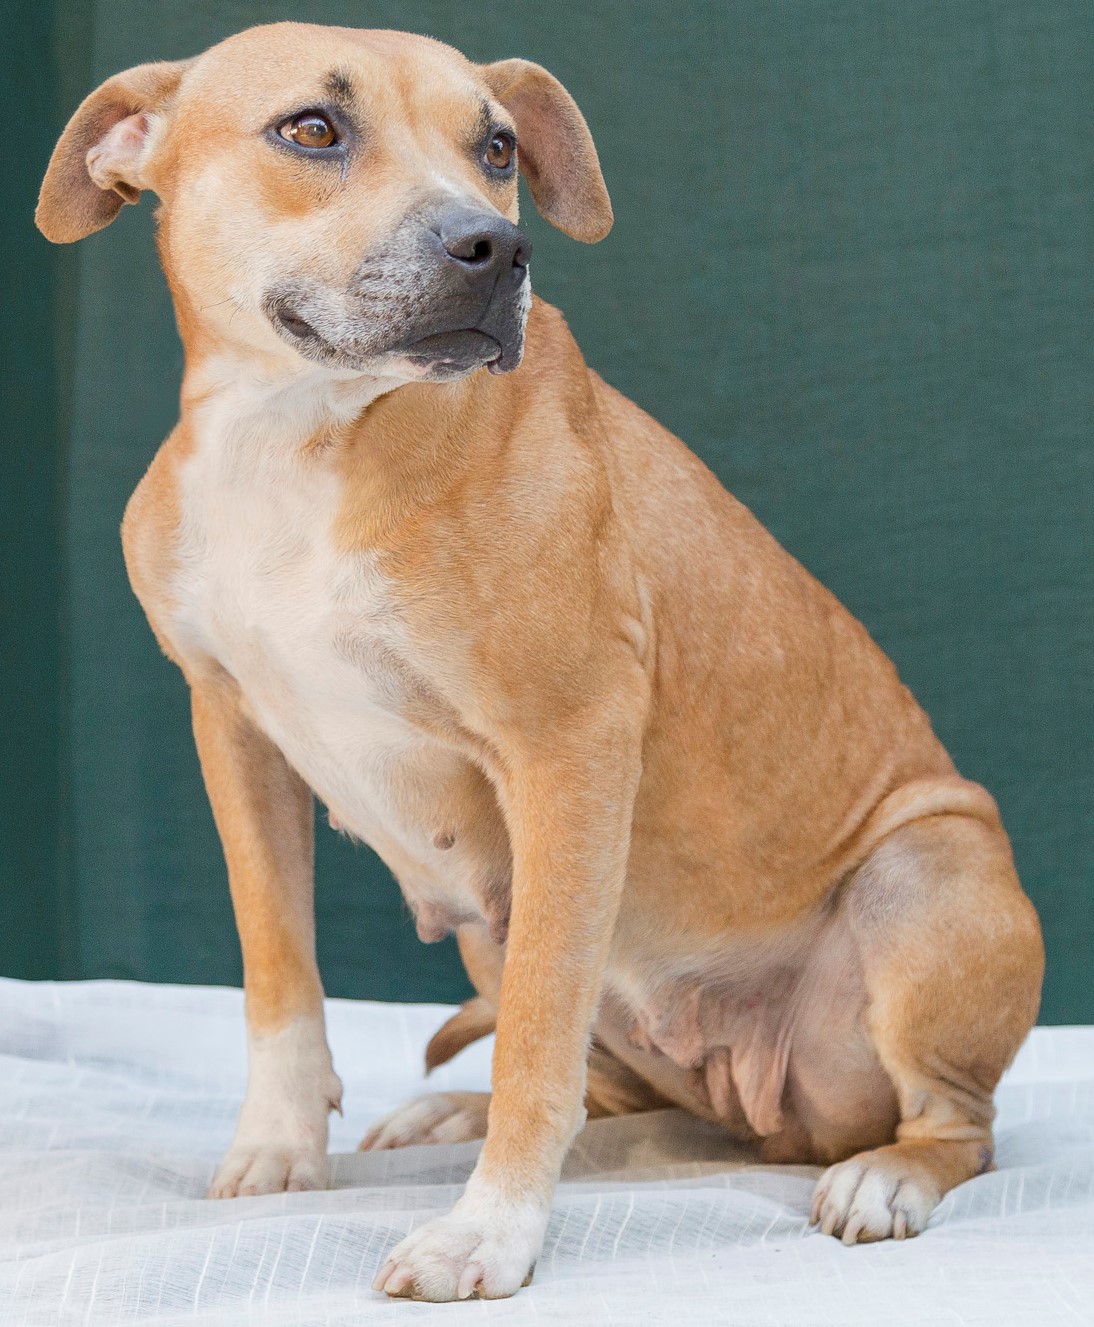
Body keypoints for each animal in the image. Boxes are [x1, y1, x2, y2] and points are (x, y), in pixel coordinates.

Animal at [36, 23, 1040, 1305]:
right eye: (311, 128)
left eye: (497, 147)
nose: (495, 246)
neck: (300, 434)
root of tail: (772, 1113)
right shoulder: (235, 734)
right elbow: (280, 976)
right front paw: (276, 1150)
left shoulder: (566, 749)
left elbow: (535, 1032)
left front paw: (487, 1233)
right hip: (497, 916)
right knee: (618, 1099)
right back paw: (454, 1115)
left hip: (921, 874)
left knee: (955, 1123)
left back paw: (886, 1178)